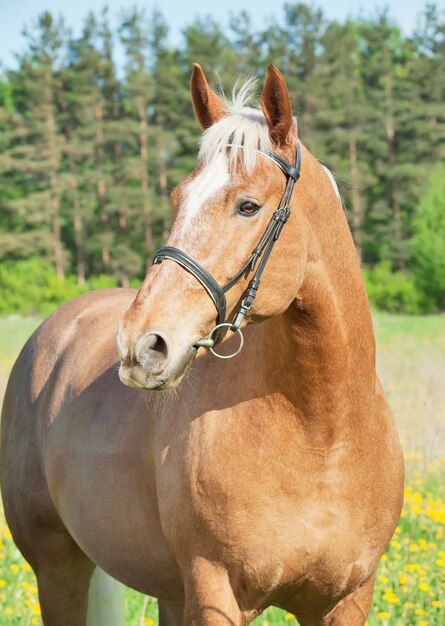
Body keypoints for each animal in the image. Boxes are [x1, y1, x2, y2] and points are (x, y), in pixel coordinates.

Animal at [0, 64, 402, 624]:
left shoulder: (347, 600)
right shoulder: (216, 593)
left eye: (248, 205)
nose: (142, 345)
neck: (323, 435)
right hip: (58, 569)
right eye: (177, 198)